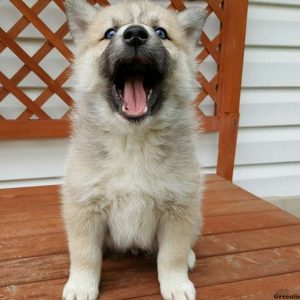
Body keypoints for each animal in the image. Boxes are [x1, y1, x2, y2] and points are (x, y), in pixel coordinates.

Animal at [62, 1, 205, 298]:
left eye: (161, 32)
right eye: (109, 33)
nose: (136, 34)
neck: (134, 140)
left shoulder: (179, 208)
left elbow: (172, 255)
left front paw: (177, 283)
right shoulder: (84, 207)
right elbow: (85, 255)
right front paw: (81, 285)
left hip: (196, 217)